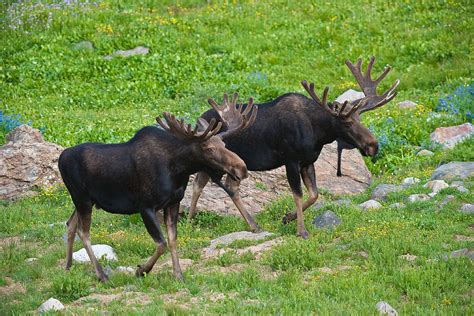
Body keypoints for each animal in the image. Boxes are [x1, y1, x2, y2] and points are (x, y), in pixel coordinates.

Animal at [57, 94, 258, 282]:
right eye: (208, 149)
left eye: (224, 144)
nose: (241, 168)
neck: (178, 170)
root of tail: (60, 158)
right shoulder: (145, 206)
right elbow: (161, 243)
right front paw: (141, 270)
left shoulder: (173, 203)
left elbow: (172, 240)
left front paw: (178, 274)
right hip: (81, 198)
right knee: (83, 232)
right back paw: (101, 274)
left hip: (86, 200)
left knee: (70, 224)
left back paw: (67, 266)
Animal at [189, 57, 400, 239]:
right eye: (347, 123)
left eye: (360, 118)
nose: (373, 146)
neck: (318, 134)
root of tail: (199, 120)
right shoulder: (291, 160)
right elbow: (298, 194)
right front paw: (301, 230)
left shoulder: (308, 161)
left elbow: (314, 194)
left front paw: (287, 217)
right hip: (216, 162)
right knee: (202, 184)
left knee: (216, 185)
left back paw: (247, 224)